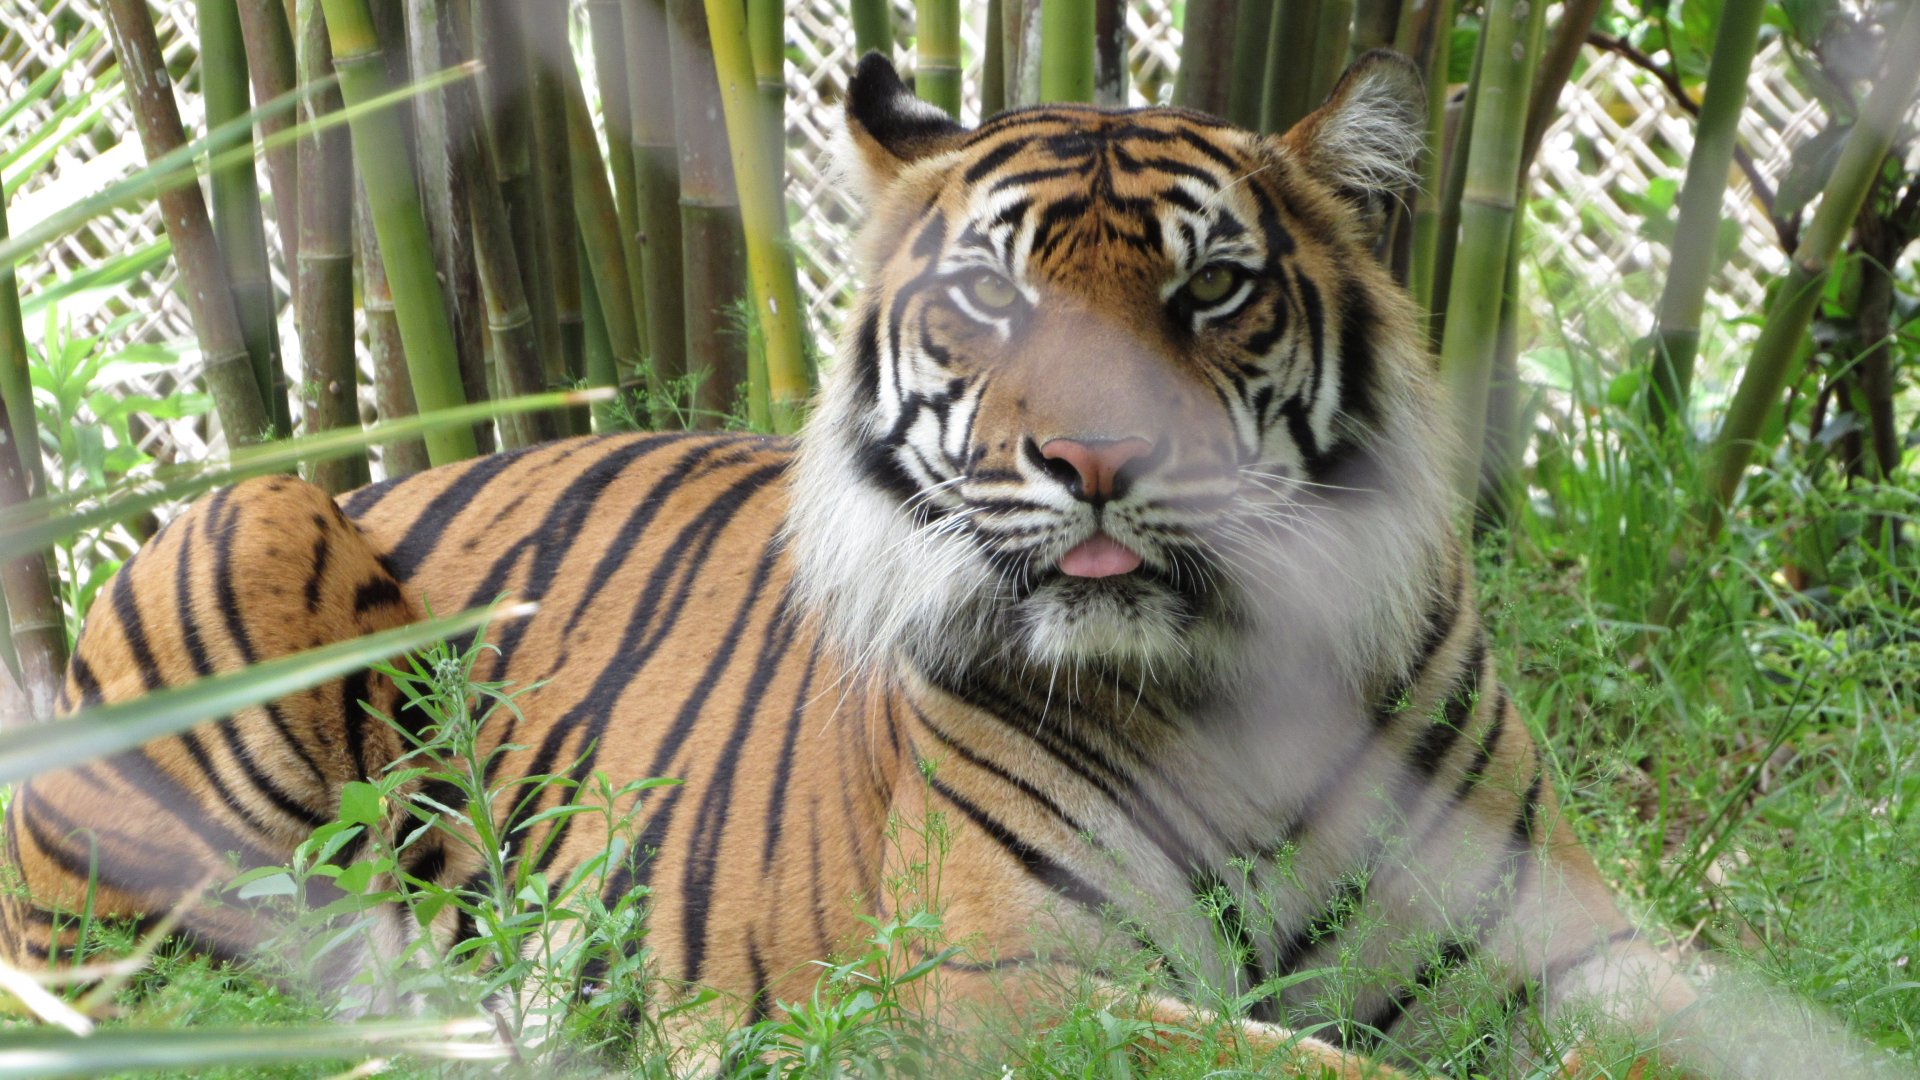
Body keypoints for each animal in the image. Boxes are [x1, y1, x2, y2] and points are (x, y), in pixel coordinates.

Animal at [0, 50, 1704, 1076]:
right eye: (996, 300)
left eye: (1214, 290)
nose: (1099, 460)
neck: (1222, 679)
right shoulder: (995, 985)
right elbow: (1293, 1062)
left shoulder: (1581, 940)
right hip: (244, 537)